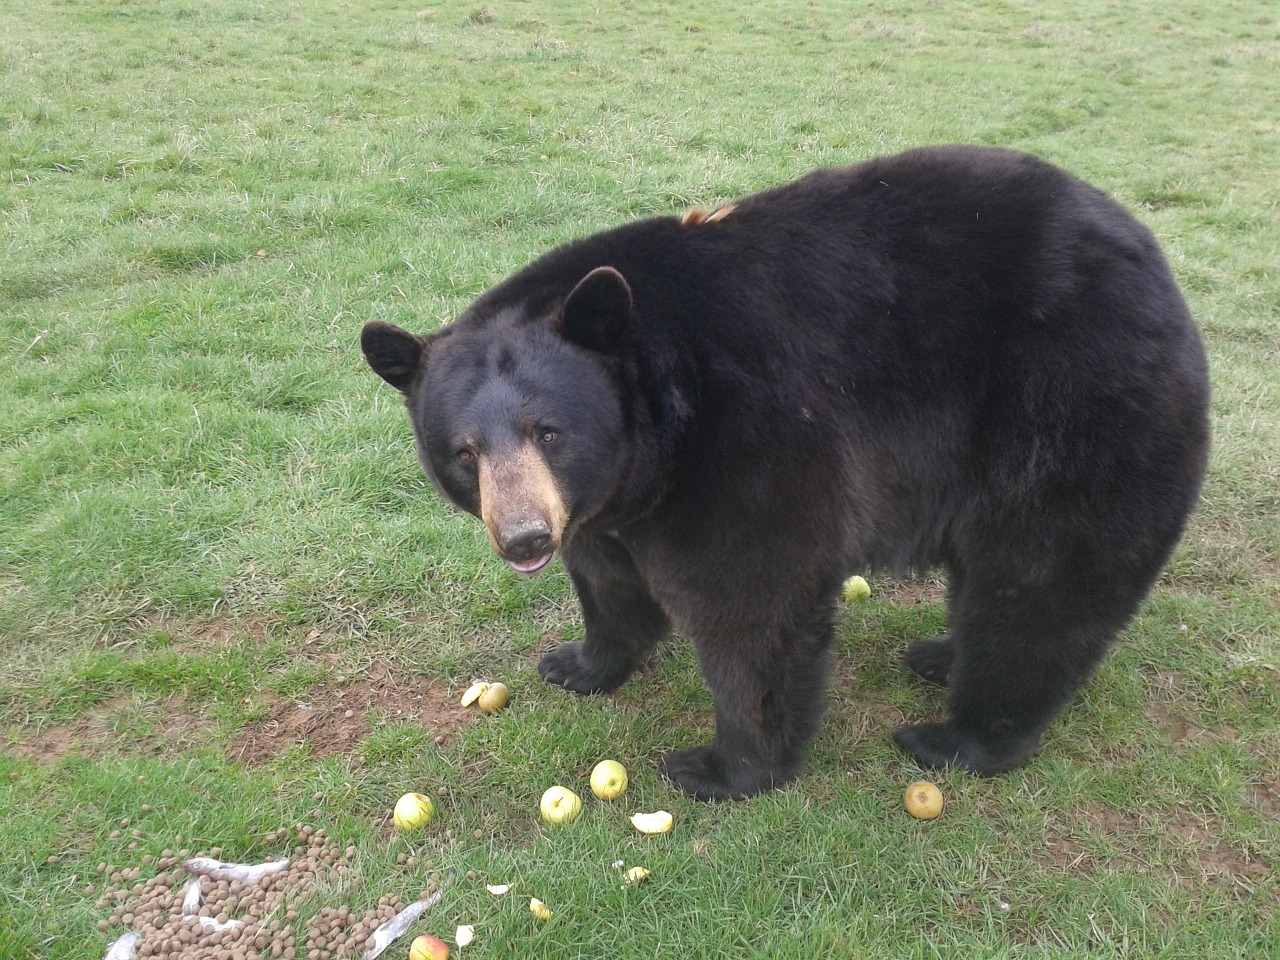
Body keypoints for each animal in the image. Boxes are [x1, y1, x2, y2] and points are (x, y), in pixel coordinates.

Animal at [363, 144, 1208, 803]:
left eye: (548, 430)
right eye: (464, 451)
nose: (525, 536)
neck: (652, 424)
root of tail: (1158, 266)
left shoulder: (743, 439)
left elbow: (753, 603)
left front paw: (722, 768)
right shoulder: (609, 503)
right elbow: (607, 580)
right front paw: (580, 663)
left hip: (1072, 413)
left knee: (1040, 584)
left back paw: (960, 736)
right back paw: (941, 654)